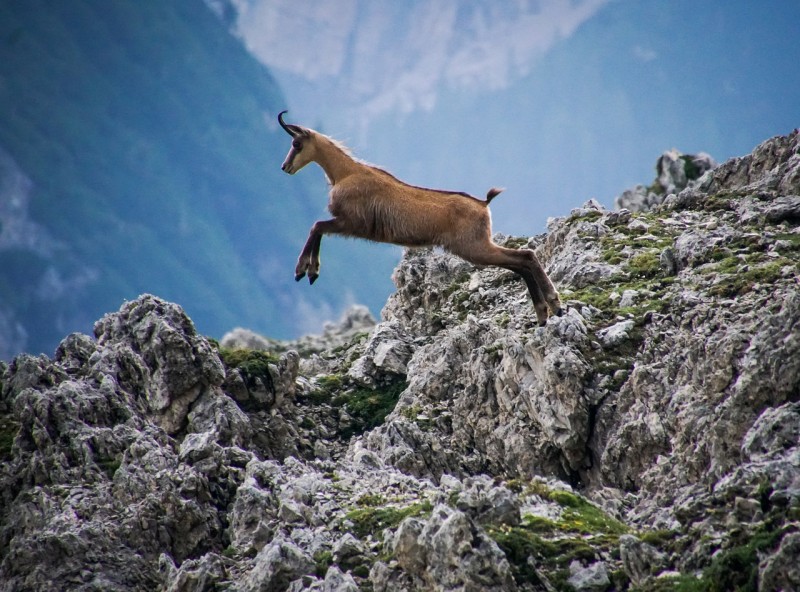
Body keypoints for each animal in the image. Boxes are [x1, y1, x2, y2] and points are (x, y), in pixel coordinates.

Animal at [278, 111, 562, 325]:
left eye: (296, 144)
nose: (285, 167)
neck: (345, 173)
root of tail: (483, 204)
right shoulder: (347, 224)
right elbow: (318, 229)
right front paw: (310, 272)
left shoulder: (350, 223)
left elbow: (317, 227)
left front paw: (305, 270)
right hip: (478, 246)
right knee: (520, 263)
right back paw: (544, 313)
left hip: (474, 246)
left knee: (525, 257)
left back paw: (553, 303)